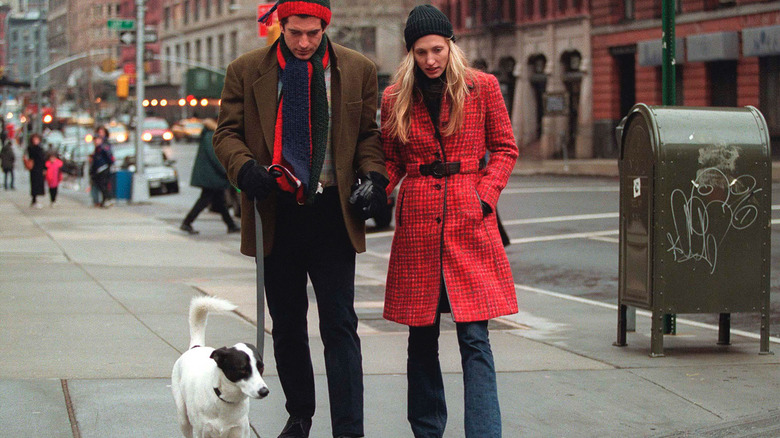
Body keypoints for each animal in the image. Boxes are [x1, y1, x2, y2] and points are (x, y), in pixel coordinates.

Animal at [171, 296, 268, 436]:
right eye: (242, 369)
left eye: (261, 368)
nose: (264, 391)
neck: (225, 399)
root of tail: (196, 347)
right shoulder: (201, 431)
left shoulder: (240, 430)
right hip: (183, 418)